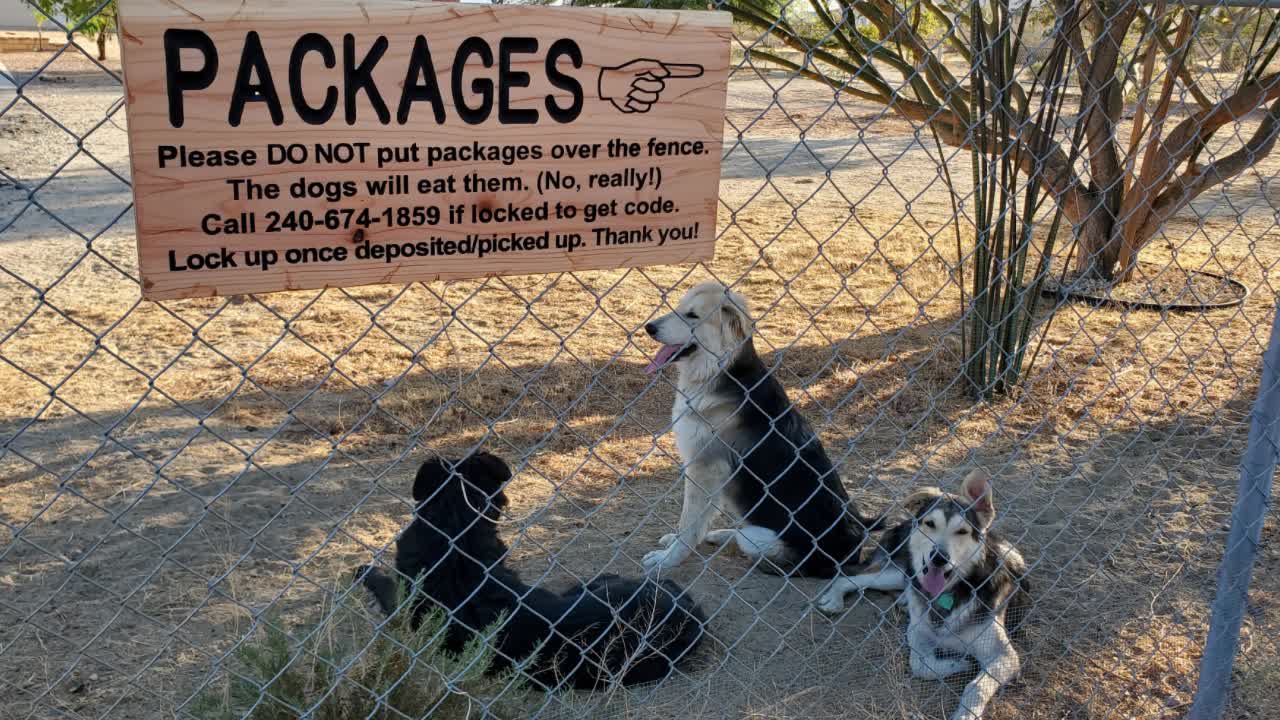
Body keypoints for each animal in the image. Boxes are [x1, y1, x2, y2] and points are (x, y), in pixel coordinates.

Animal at [355, 450, 706, 686]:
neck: (455, 529)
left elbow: (384, 587)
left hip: (597, 583)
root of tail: (687, 610)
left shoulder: (405, 610)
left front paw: (364, 571)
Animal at [637, 280, 880, 576]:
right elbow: (698, 521)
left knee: (751, 541)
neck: (719, 370)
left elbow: (689, 524)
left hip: (763, 539)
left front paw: (669, 559)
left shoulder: (705, 468)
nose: (649, 327)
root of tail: (856, 544)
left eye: (692, 315)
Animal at [819, 468, 1029, 712]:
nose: (938, 558)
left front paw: (965, 714)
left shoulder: (1004, 656)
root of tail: (903, 522)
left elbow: (975, 688)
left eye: (962, 531)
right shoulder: (917, 631)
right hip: (903, 572)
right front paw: (958, 664)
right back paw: (834, 600)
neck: (948, 594)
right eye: (930, 524)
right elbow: (920, 665)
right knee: (849, 579)